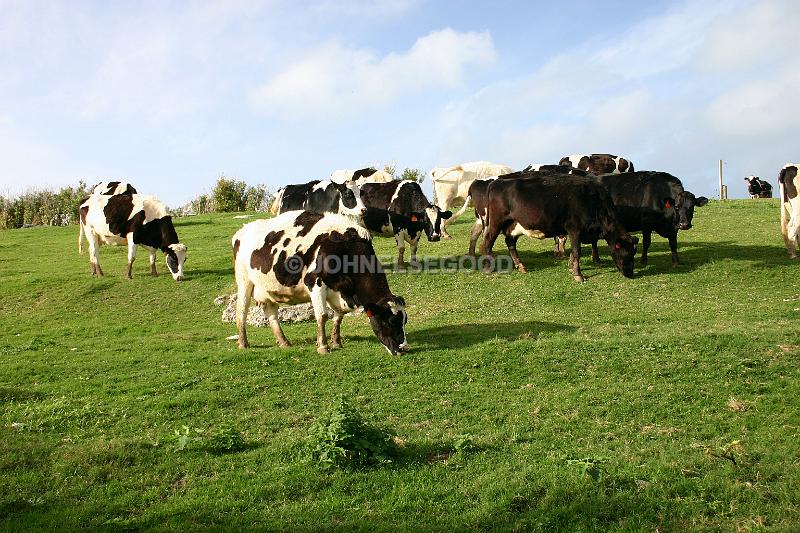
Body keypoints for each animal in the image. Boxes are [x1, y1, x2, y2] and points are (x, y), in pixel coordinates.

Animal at [230, 211, 406, 354]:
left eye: (405, 321)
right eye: (390, 322)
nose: (403, 349)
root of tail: (242, 231)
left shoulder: (339, 291)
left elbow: (338, 316)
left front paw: (336, 342)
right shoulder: (315, 283)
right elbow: (322, 316)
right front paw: (323, 346)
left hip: (268, 289)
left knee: (272, 314)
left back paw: (284, 342)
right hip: (244, 281)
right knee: (241, 311)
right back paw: (243, 343)